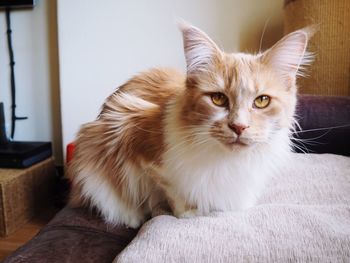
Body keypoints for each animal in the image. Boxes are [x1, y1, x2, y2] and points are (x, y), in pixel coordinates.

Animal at [67, 22, 314, 229]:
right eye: (218, 99)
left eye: (262, 101)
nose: (239, 127)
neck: (227, 160)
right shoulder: (133, 135)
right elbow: (174, 190)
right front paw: (188, 213)